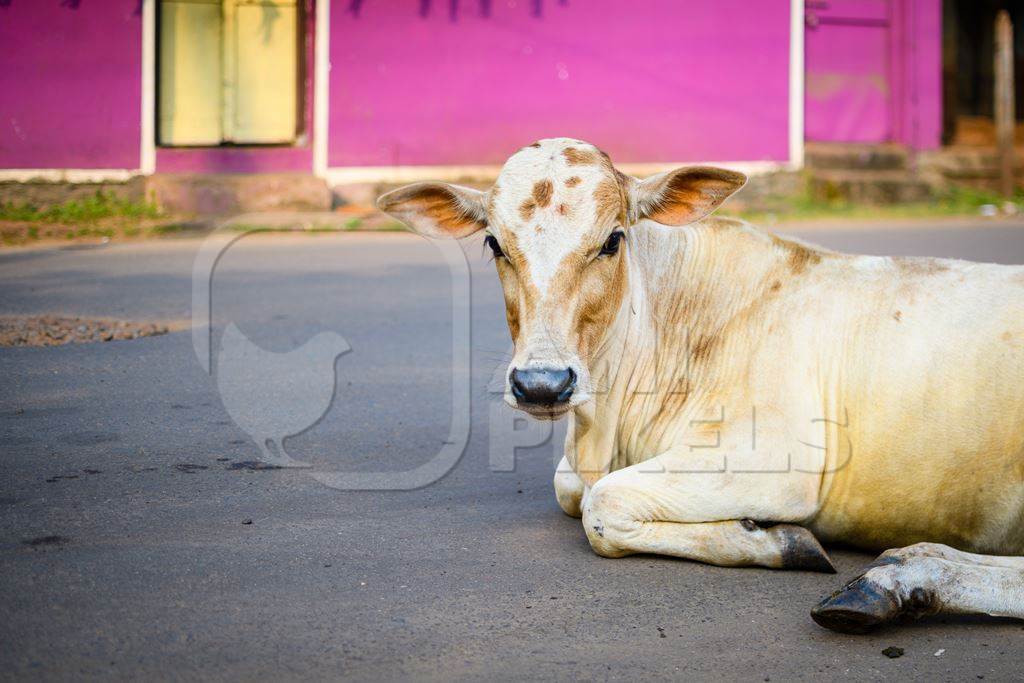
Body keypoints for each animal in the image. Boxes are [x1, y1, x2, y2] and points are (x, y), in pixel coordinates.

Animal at [380, 139, 1024, 634]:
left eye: (613, 239)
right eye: (494, 243)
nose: (543, 384)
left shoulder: (776, 459)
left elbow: (601, 504)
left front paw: (779, 539)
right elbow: (571, 490)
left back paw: (899, 579)